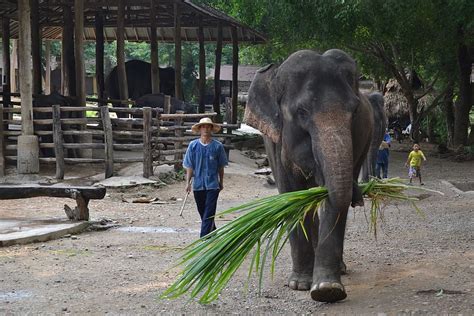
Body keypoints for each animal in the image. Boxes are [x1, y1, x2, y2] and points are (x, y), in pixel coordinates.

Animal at [244, 48, 374, 302]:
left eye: (354, 111)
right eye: (301, 112)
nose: (359, 196)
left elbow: (334, 200)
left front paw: (327, 289)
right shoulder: (276, 141)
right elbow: (291, 196)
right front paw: (301, 284)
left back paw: (340, 268)